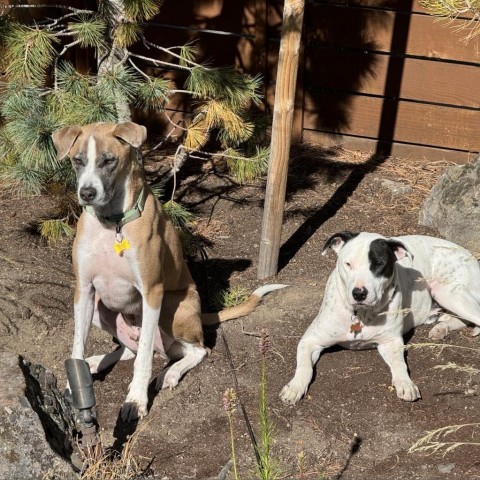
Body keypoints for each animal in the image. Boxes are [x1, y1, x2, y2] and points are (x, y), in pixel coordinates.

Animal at [52, 122, 284, 422]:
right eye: (77, 160)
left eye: (108, 160)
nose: (87, 193)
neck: (112, 224)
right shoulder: (84, 289)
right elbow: (77, 347)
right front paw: (75, 384)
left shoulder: (152, 292)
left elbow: (144, 360)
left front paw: (136, 400)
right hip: (99, 306)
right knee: (130, 350)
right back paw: (98, 362)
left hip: (173, 308)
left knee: (196, 349)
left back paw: (171, 373)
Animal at [282, 231, 480, 404]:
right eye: (348, 264)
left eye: (379, 264)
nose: (359, 293)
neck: (361, 314)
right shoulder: (310, 340)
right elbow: (304, 366)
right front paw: (294, 387)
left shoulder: (391, 342)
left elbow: (400, 364)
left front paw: (406, 383)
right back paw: (441, 327)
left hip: (448, 293)